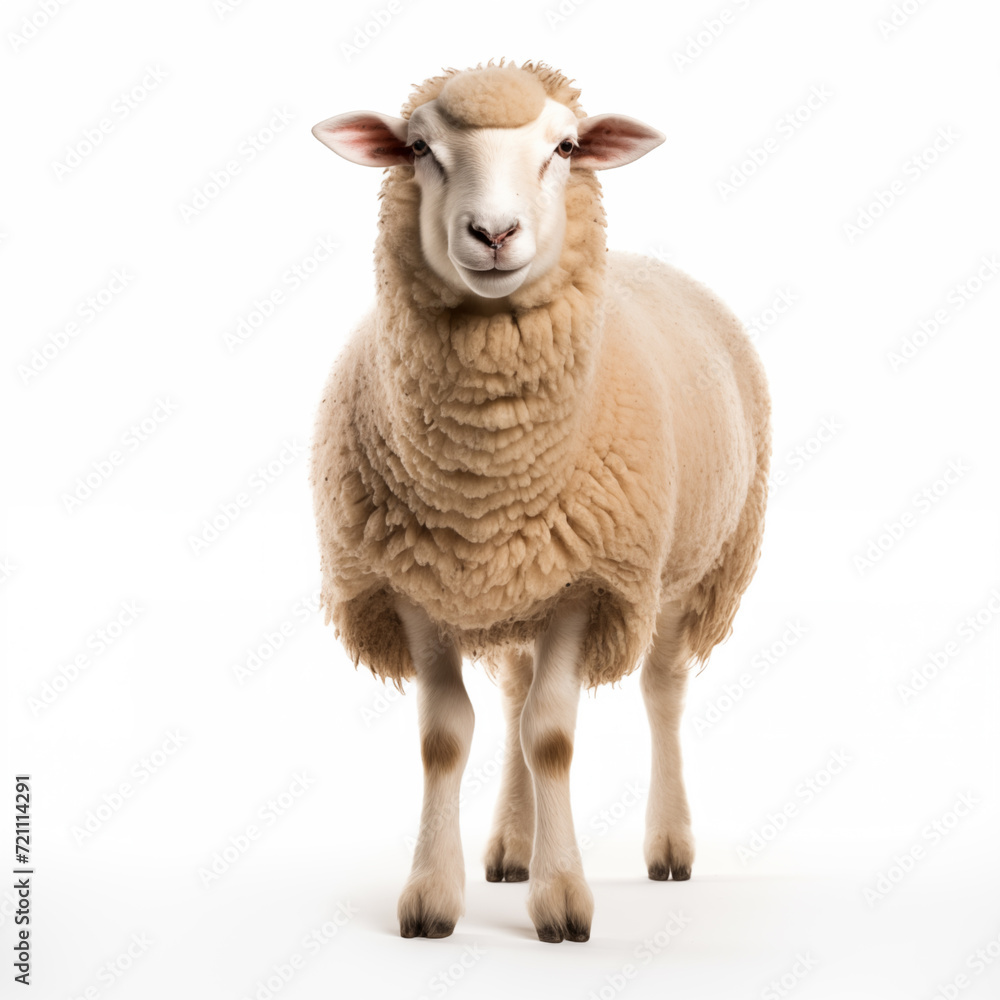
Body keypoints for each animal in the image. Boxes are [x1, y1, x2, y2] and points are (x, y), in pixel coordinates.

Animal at [310, 60, 771, 944]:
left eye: (564, 147)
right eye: (417, 148)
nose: (493, 233)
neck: (483, 488)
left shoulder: (589, 582)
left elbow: (551, 736)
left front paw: (562, 901)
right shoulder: (415, 586)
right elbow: (446, 737)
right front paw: (432, 897)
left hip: (682, 571)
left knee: (660, 692)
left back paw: (668, 846)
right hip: (521, 585)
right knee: (517, 694)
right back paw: (511, 848)